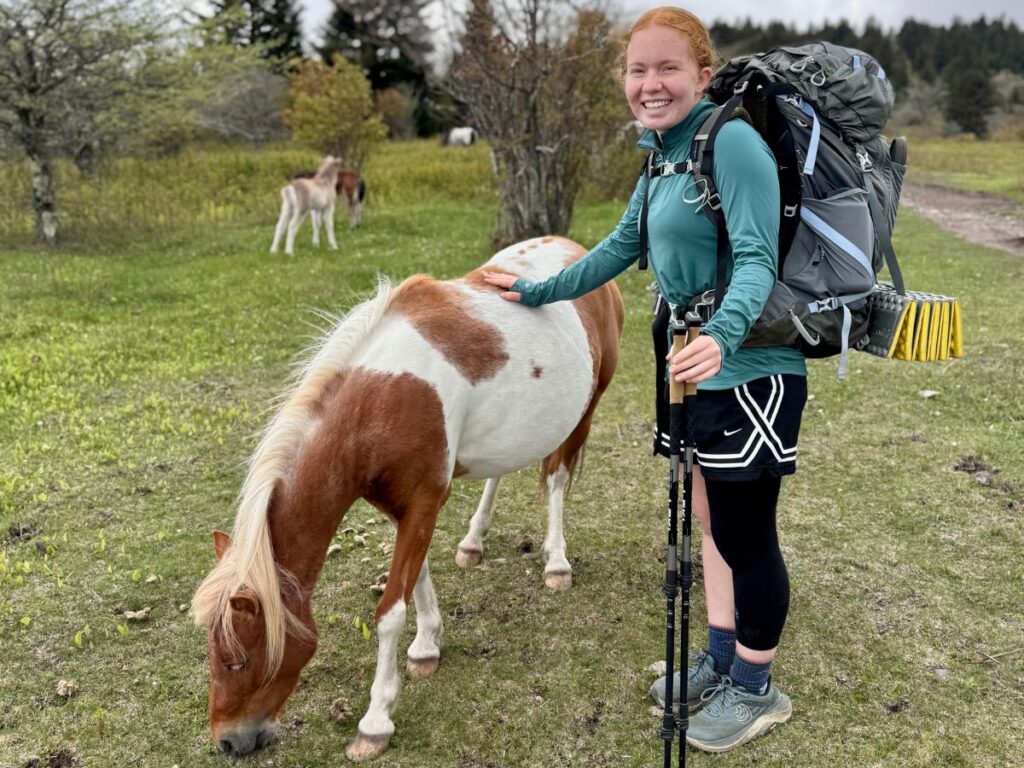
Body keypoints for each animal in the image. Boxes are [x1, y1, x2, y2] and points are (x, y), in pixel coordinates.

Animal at [191, 236, 624, 762]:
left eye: (239, 658)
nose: (228, 741)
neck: (385, 398)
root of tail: (574, 247)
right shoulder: (403, 506)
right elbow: (417, 576)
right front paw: (427, 647)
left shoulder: (422, 501)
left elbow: (390, 611)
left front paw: (375, 721)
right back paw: (474, 541)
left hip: (587, 409)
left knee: (558, 480)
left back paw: (557, 563)